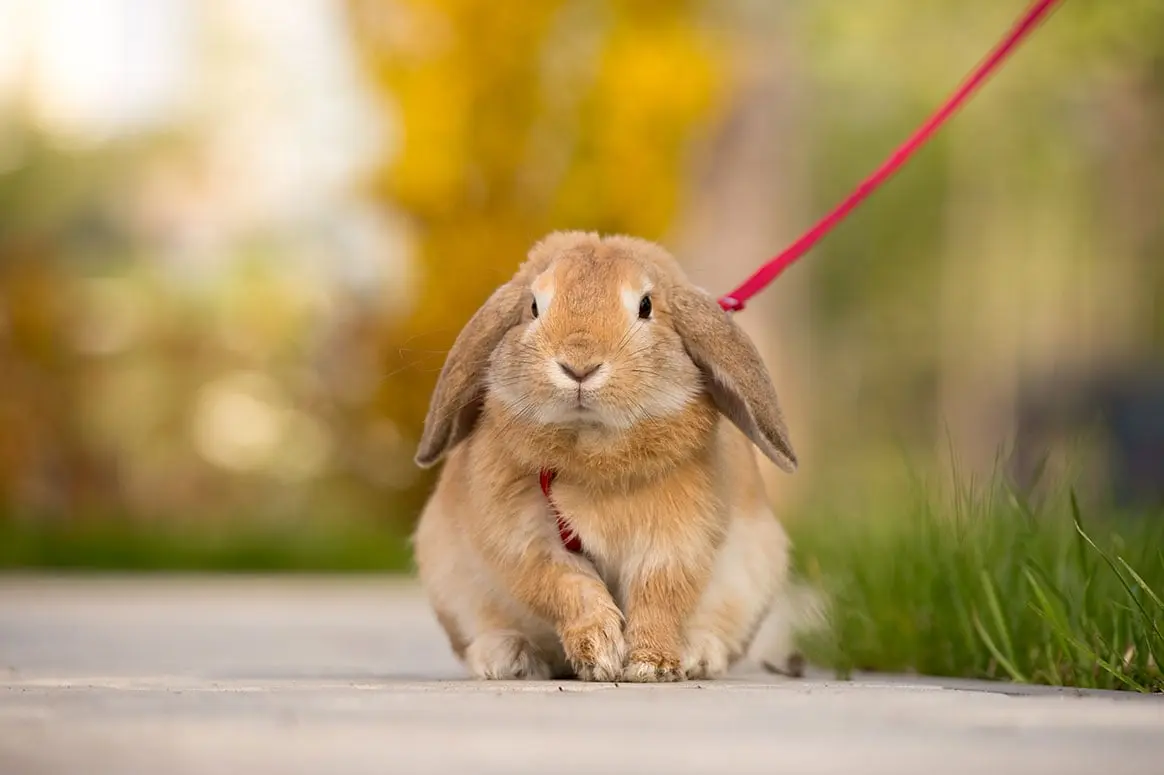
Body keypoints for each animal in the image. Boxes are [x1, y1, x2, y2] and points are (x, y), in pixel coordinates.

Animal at [410, 230, 812, 682]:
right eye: (534, 307)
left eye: (646, 306)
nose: (579, 365)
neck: (592, 450)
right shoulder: (529, 541)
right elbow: (568, 588)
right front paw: (599, 652)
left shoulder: (673, 542)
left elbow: (658, 597)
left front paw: (651, 665)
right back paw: (509, 658)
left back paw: (697, 654)